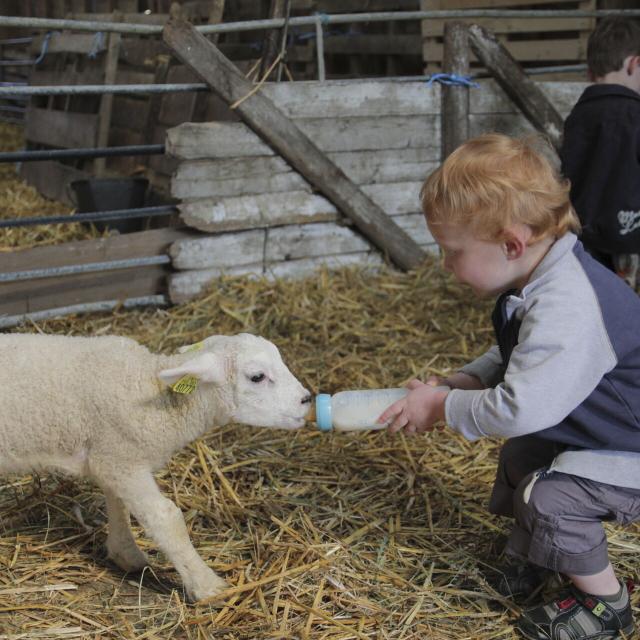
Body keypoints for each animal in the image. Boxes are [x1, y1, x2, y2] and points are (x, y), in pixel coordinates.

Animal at [0, 332, 312, 604]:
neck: (151, 387)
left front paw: (125, 553)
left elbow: (118, 504)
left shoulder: (112, 455)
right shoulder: (122, 458)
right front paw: (208, 587)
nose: (307, 400)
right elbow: (165, 518)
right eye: (257, 377)